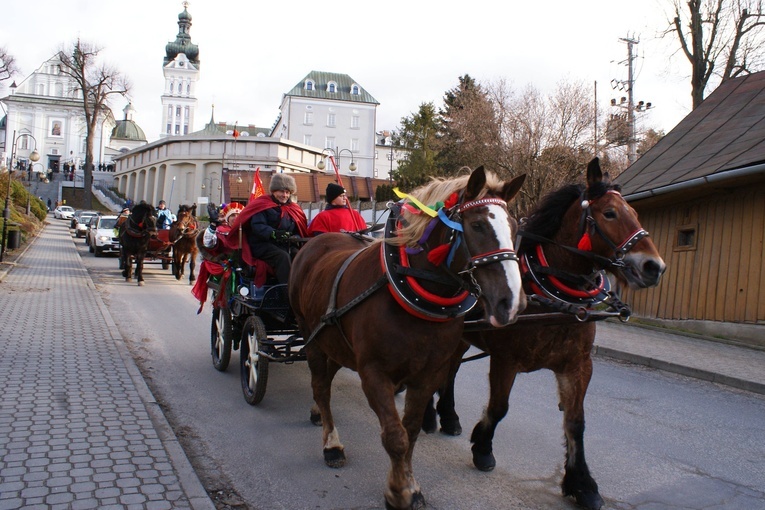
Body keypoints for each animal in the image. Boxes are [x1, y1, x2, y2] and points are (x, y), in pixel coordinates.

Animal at [290, 168, 528, 510]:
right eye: (478, 225)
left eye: (514, 227)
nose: (512, 303)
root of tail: (313, 242)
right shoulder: (374, 373)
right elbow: (395, 436)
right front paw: (399, 491)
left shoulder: (428, 374)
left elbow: (411, 430)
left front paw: (409, 484)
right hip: (311, 336)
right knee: (321, 386)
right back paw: (332, 444)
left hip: (333, 341)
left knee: (324, 380)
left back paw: (315, 413)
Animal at [424, 157, 664, 508]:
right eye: (609, 213)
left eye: (634, 212)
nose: (654, 267)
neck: (553, 296)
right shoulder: (506, 360)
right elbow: (498, 408)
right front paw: (482, 447)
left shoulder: (577, 365)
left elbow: (575, 422)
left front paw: (581, 483)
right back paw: (431, 415)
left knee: (450, 371)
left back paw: (448, 416)